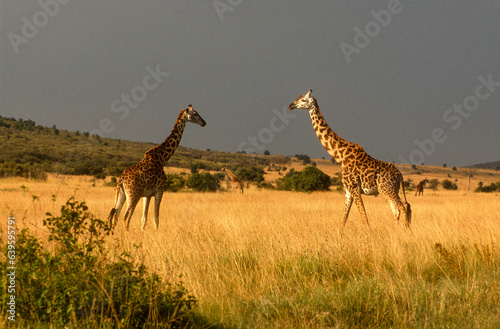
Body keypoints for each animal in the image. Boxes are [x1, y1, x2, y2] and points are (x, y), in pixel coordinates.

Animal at [288, 89, 412, 228]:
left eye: (303, 100)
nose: (290, 106)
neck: (341, 157)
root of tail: (400, 175)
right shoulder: (348, 191)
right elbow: (343, 219)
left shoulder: (354, 188)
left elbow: (364, 218)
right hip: (391, 190)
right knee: (397, 210)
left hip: (387, 190)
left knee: (403, 206)